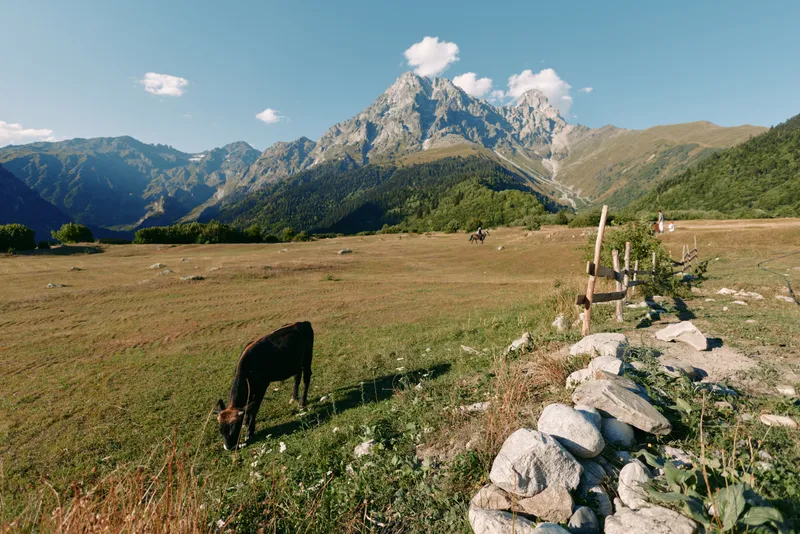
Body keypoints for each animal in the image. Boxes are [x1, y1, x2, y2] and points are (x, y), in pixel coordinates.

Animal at [214, 321, 314, 451]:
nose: (229, 447)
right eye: (220, 429)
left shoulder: (262, 387)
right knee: (297, 376)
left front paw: (249, 431)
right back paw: (293, 397)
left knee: (306, 377)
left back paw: (302, 402)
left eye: (236, 427)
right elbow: (248, 405)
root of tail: (303, 322)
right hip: (297, 362)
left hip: (307, 357)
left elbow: (254, 408)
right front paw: (246, 420)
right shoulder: (251, 389)